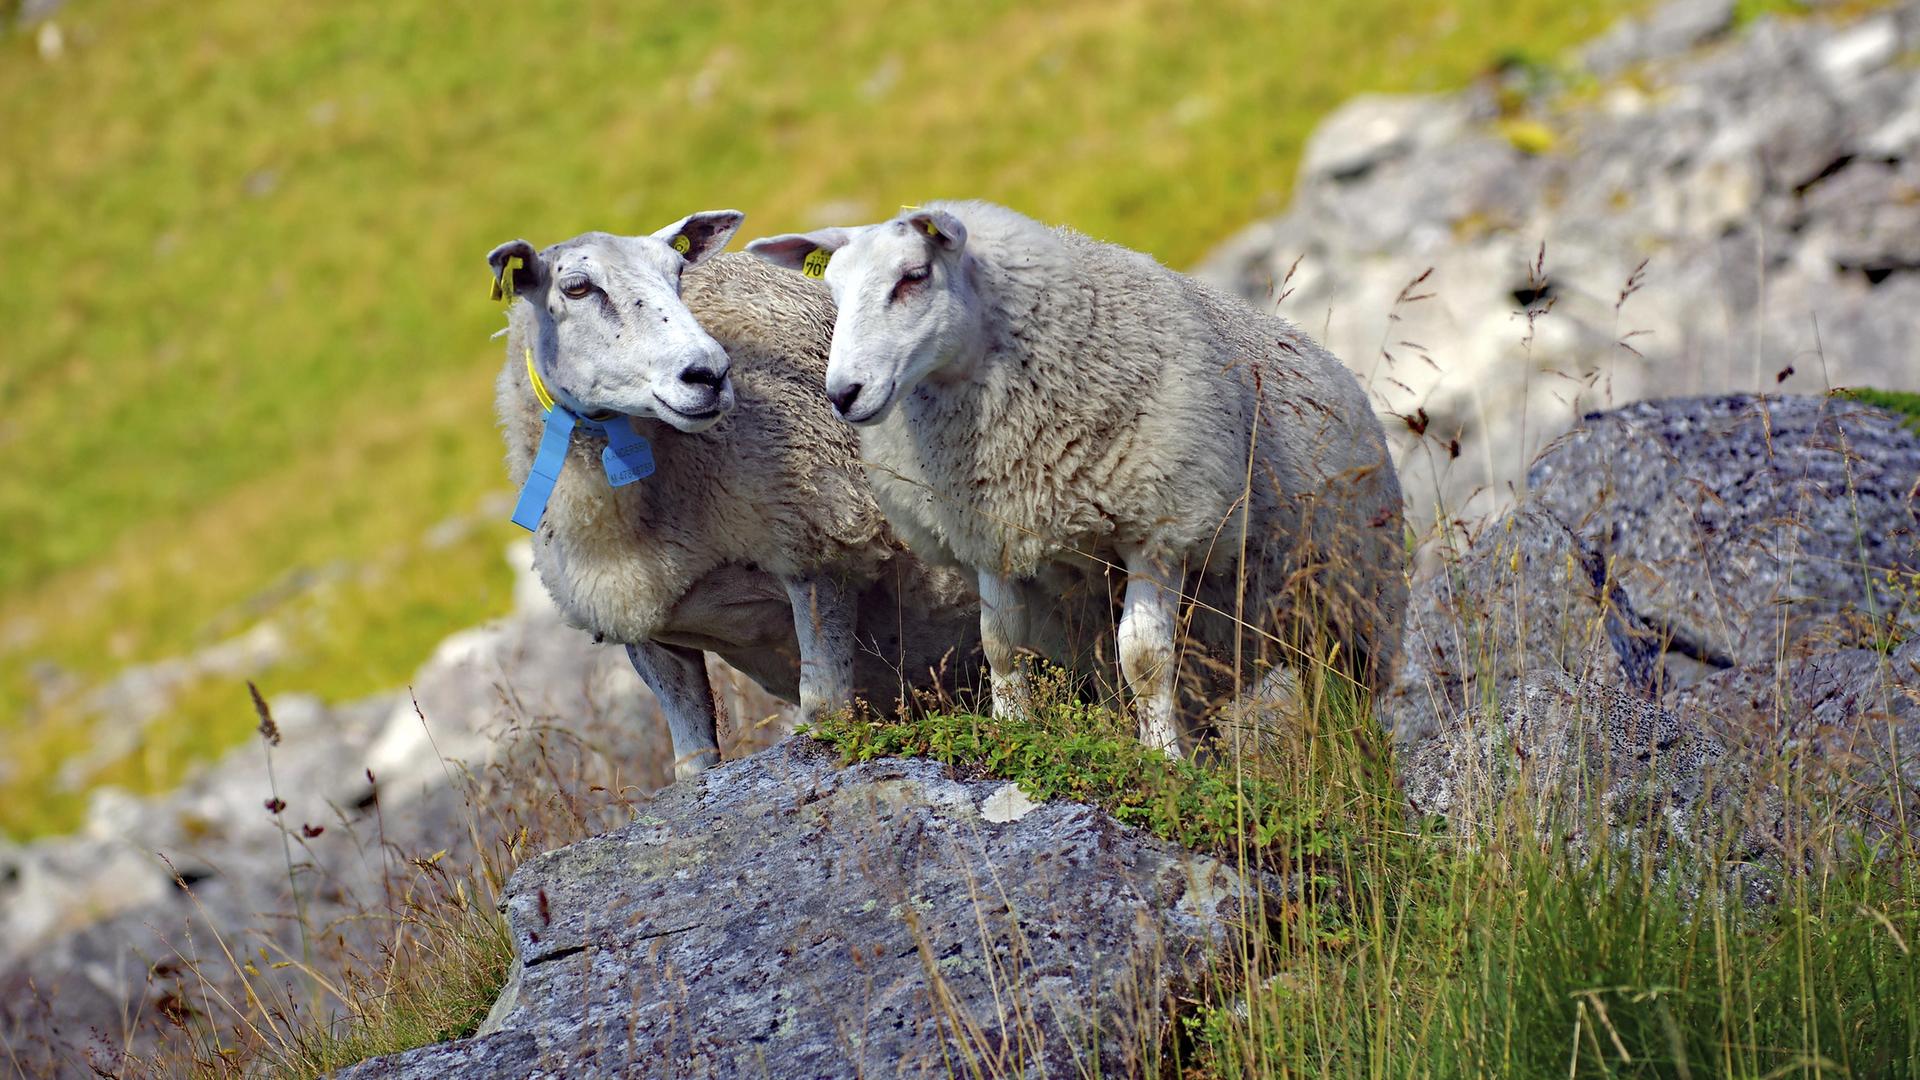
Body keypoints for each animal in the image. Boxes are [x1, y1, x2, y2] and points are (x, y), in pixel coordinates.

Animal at [487, 210, 983, 772]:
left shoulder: (820, 551)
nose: (709, 374)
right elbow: (692, 764)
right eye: (576, 287)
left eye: (678, 273)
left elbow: (824, 712)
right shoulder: (646, 628)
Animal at [748, 203, 1413, 757]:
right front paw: (1011, 730)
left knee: (1346, 704)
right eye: (832, 291)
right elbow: (1000, 643)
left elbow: (1144, 658)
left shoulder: (1161, 527)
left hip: (1354, 604)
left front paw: (1163, 761)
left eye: (913, 276)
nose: (844, 394)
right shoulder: (991, 531)